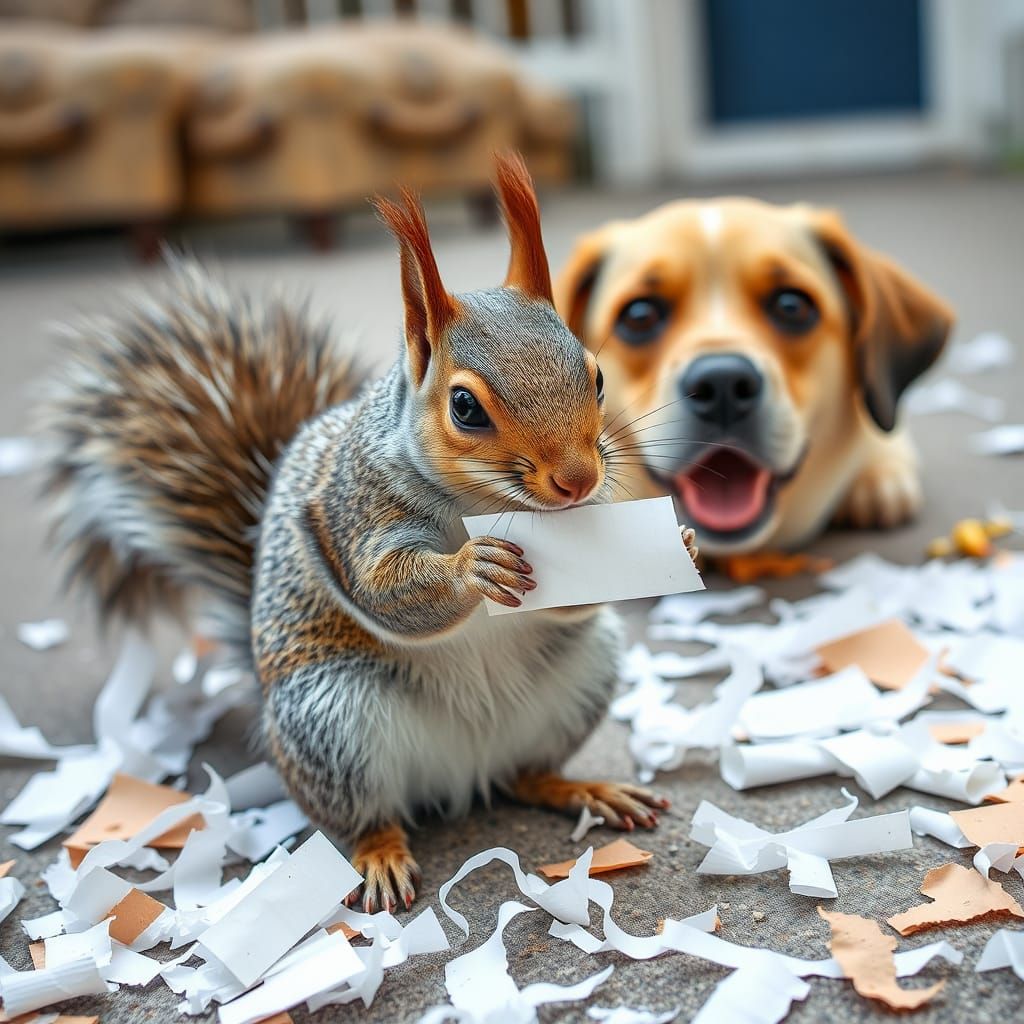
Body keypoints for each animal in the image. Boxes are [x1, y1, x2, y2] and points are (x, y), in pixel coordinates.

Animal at [43, 153, 698, 913]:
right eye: (465, 407)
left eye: (595, 376)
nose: (579, 481)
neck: (479, 502)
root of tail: (463, 770)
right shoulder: (357, 512)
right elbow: (384, 589)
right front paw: (473, 568)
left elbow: (575, 601)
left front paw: (683, 542)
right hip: (331, 720)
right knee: (363, 815)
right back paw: (380, 854)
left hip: (579, 675)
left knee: (525, 775)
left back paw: (582, 787)